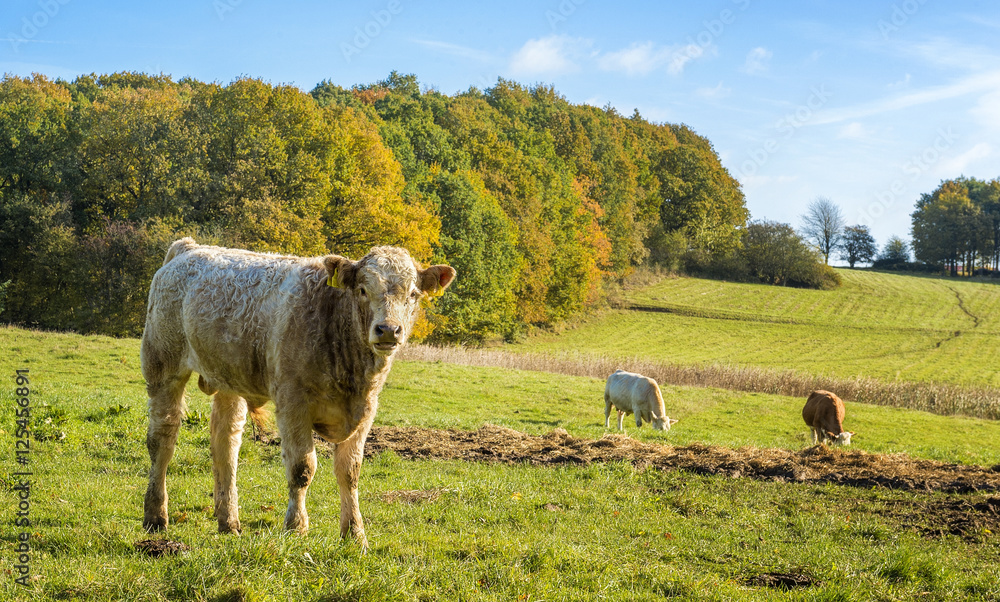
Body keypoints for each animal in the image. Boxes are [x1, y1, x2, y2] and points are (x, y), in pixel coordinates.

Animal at [140, 237, 455, 550]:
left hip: (229, 379)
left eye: (413, 294)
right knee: (163, 439)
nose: (388, 330)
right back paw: (155, 516)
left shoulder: (366, 411)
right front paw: (296, 528)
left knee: (225, 444)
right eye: (363, 290)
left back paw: (228, 522)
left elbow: (350, 472)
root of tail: (190, 247)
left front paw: (355, 534)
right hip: (162, 364)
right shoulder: (293, 403)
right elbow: (302, 468)